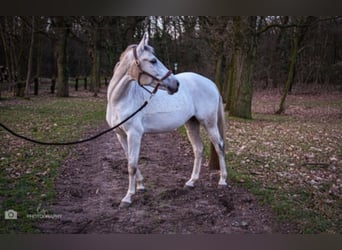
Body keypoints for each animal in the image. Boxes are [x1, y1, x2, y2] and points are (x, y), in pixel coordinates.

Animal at [105, 34, 226, 207]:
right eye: (153, 60)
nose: (175, 84)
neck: (121, 100)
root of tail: (211, 83)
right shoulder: (120, 135)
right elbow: (130, 160)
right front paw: (140, 186)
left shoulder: (134, 134)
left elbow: (132, 165)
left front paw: (128, 197)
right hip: (192, 123)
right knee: (198, 149)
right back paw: (191, 182)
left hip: (209, 123)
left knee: (219, 146)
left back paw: (222, 181)